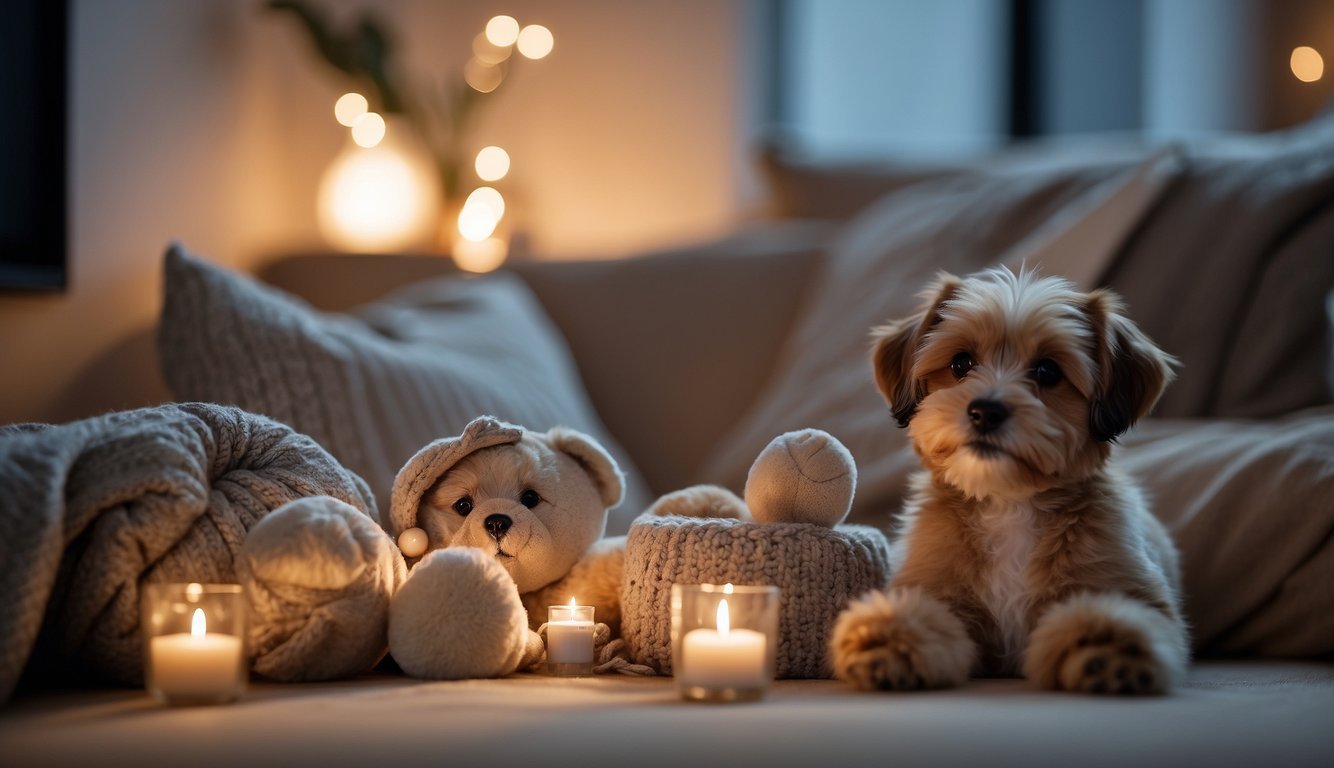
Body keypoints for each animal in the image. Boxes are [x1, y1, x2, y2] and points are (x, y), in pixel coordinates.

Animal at [832, 266, 1189, 693]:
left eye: (1048, 371)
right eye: (961, 363)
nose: (985, 411)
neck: (1008, 502)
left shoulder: (1134, 590)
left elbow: (1128, 613)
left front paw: (1105, 643)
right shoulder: (938, 589)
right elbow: (927, 618)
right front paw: (888, 639)